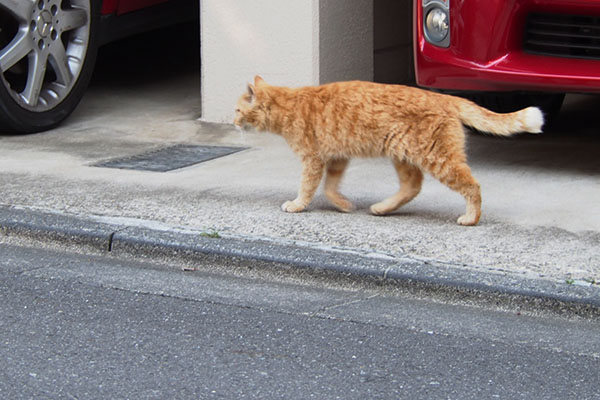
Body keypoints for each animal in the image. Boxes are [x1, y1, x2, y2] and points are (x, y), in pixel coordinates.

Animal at [234, 75, 544, 225]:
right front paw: (342, 205)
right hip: (403, 155)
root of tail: (445, 97)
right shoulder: (336, 158)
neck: (289, 104)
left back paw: (471, 218)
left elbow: (308, 187)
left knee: (472, 185)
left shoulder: (313, 158)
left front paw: (297, 205)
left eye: (237, 110)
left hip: (438, 158)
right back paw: (382, 208)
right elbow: (330, 187)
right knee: (412, 186)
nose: (233, 122)